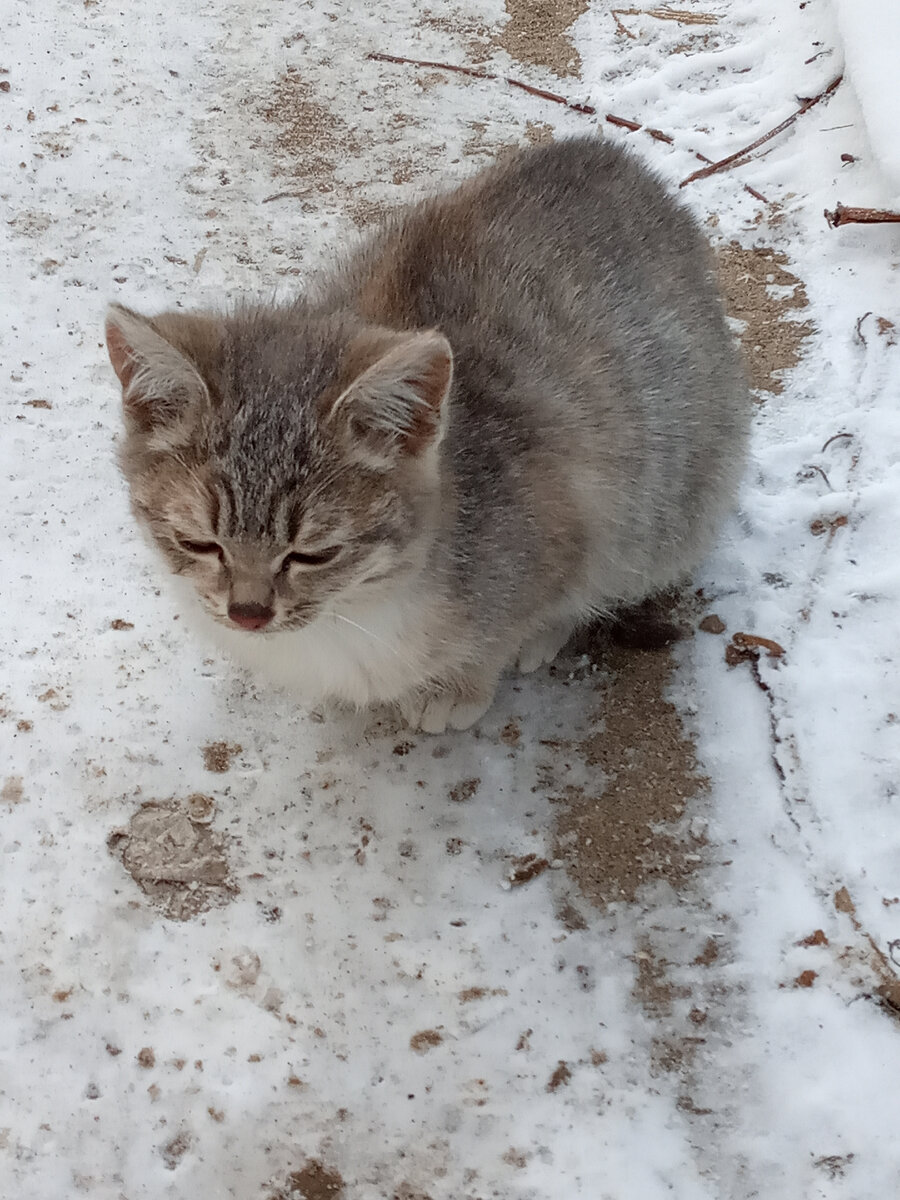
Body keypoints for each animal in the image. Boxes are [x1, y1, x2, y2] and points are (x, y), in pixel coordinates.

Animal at [107, 131, 753, 729]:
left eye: (315, 554)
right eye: (198, 543)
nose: (248, 613)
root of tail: (612, 154)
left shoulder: (571, 512)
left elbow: (519, 617)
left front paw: (461, 683)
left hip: (673, 499)